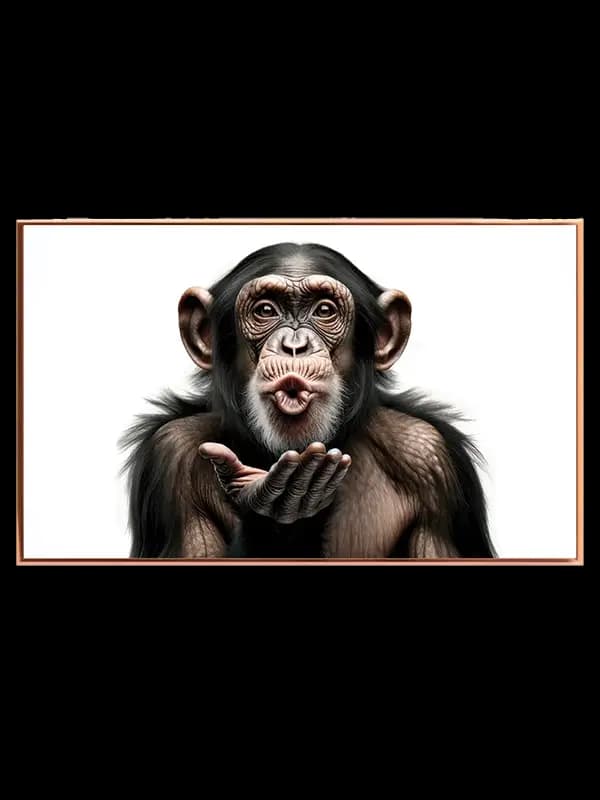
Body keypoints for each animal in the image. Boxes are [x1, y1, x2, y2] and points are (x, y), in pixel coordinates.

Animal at [120, 242, 495, 558]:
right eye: (266, 310)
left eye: (324, 310)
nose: (295, 346)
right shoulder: (169, 455)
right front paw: (276, 518)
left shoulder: (432, 460)